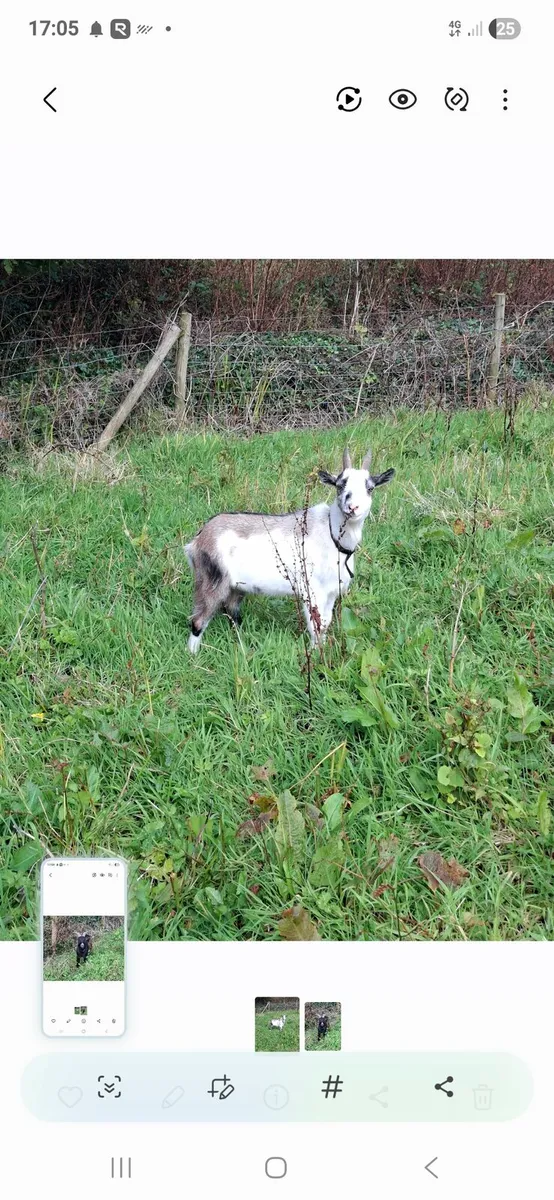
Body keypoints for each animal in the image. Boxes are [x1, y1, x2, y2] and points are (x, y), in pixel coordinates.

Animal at [185, 447, 395, 652]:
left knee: (232, 613)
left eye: (370, 488)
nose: (352, 507)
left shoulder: (331, 592)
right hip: (213, 579)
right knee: (198, 620)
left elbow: (325, 623)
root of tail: (196, 541)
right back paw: (193, 654)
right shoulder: (313, 590)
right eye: (339, 485)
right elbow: (316, 626)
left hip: (236, 586)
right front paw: (316, 655)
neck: (332, 536)